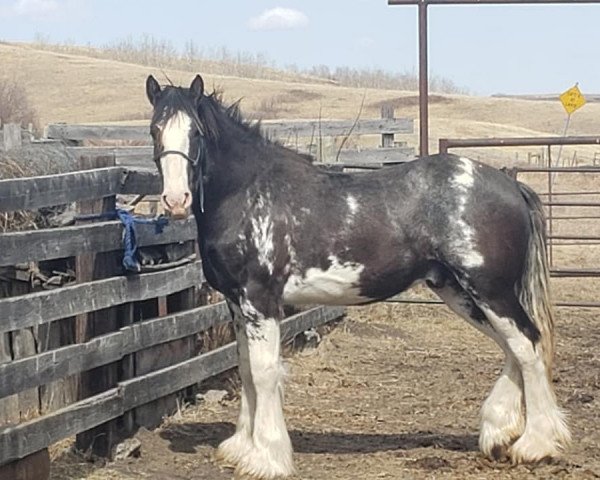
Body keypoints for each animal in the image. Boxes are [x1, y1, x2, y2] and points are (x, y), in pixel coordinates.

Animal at [145, 75, 572, 480]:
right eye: (154, 129)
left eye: (196, 131)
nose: (176, 201)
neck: (248, 192)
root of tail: (510, 184)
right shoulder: (238, 304)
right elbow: (246, 369)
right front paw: (241, 448)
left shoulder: (260, 300)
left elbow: (264, 373)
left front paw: (267, 458)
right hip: (461, 291)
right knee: (512, 347)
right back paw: (499, 433)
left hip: (489, 289)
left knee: (528, 345)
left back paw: (535, 444)